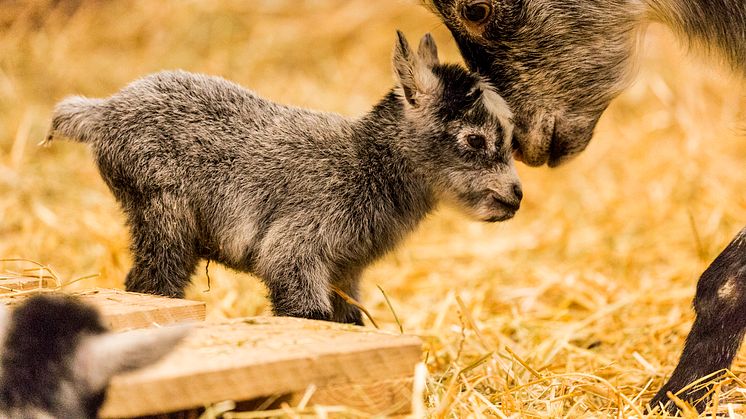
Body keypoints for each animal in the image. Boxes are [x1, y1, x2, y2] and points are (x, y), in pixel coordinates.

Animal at [48, 32, 516, 324]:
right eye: (475, 139)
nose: (514, 197)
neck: (365, 163)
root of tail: (102, 110)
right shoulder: (296, 247)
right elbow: (306, 311)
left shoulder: (345, 271)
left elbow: (349, 321)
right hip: (162, 207)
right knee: (150, 282)